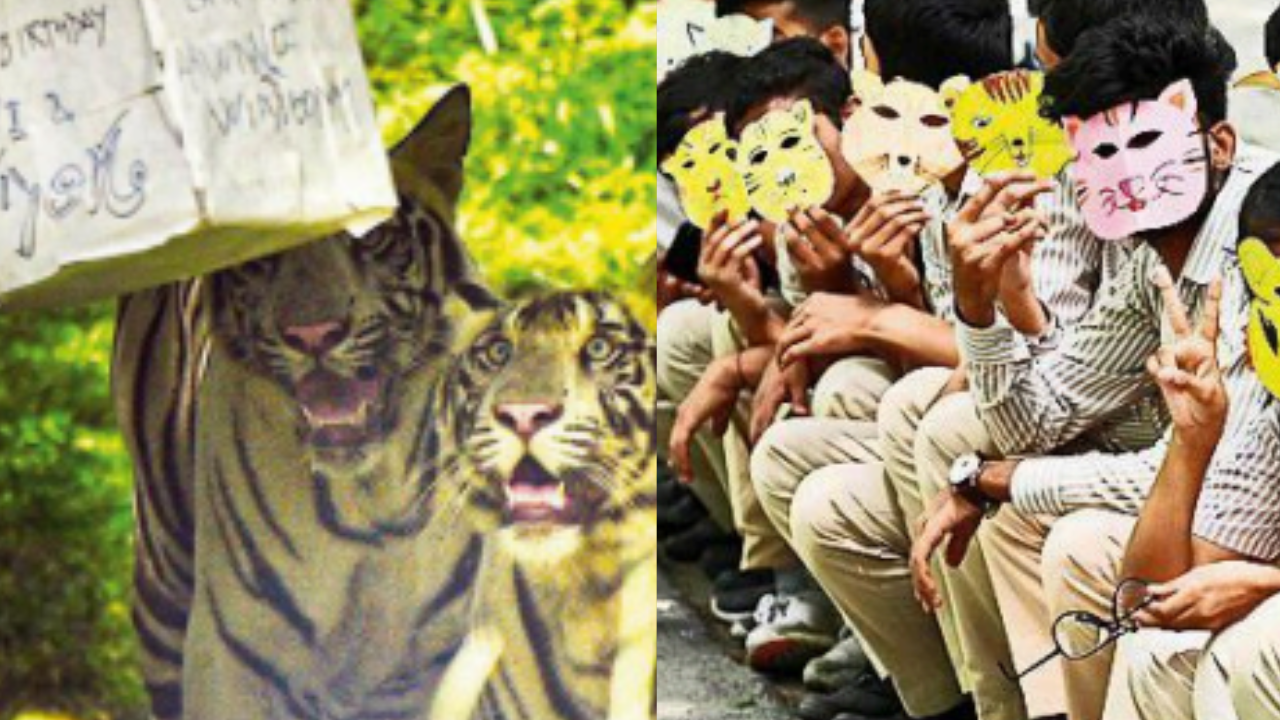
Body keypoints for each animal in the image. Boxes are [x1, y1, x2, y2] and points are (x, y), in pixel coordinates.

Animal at [111, 85, 499, 717]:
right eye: (259, 250)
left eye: (370, 237)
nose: (313, 334)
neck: (377, 500)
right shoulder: (232, 658)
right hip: (162, 580)